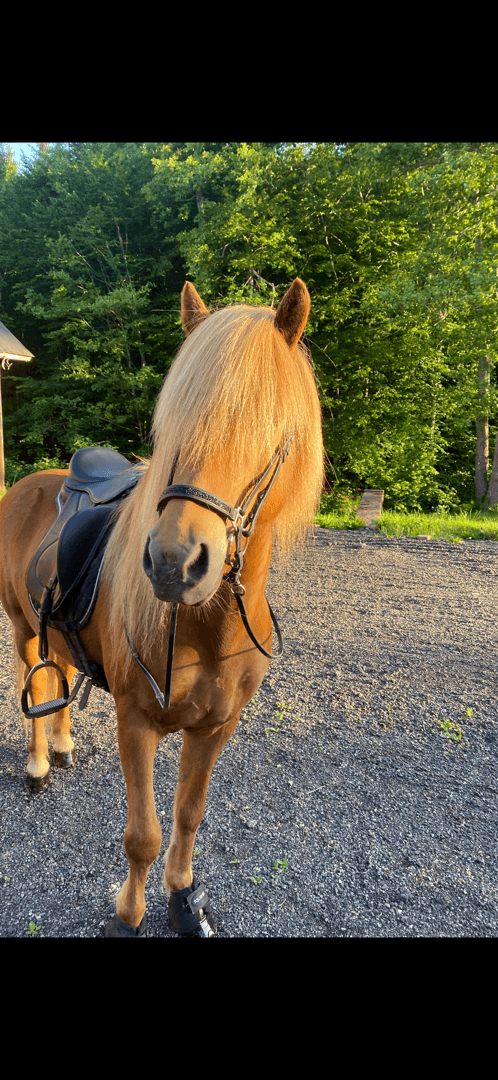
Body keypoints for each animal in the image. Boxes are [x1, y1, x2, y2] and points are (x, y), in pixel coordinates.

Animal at [0, 278, 321, 937]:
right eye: (176, 423)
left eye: (269, 429)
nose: (175, 562)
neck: (206, 628)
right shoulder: (136, 722)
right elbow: (143, 835)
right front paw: (129, 914)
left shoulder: (217, 727)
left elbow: (188, 816)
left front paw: (182, 900)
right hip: (22, 627)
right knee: (33, 684)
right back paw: (39, 763)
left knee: (60, 672)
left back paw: (64, 748)